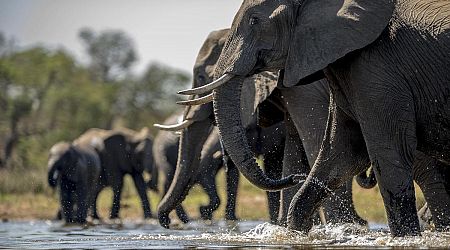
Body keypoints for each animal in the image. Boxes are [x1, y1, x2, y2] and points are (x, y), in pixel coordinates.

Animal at [181, 0, 450, 236]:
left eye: (254, 20)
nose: (293, 179)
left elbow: (387, 151)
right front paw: (295, 232)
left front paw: (403, 238)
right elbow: (341, 153)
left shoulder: (376, 70)